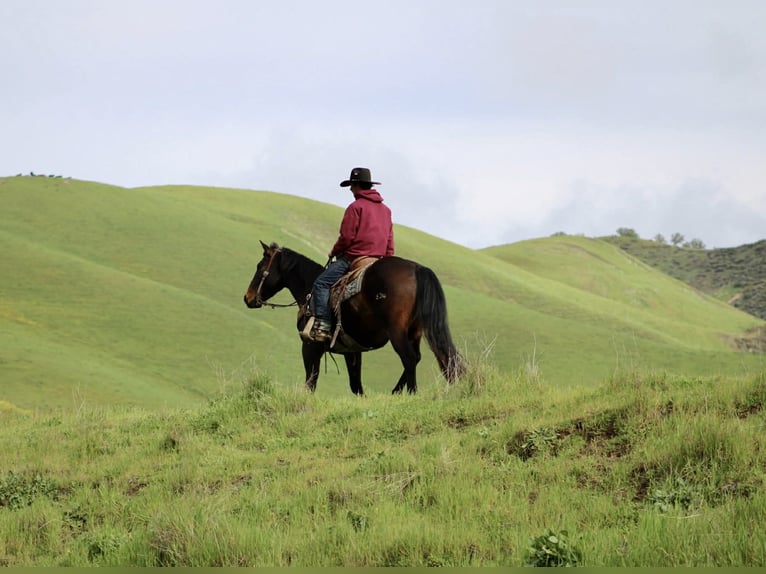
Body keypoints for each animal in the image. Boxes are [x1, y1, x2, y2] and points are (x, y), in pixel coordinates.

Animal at [243, 241, 465, 395]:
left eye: (259, 266)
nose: (248, 298)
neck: (309, 290)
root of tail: (417, 268)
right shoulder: (352, 351)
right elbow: (356, 386)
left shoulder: (310, 346)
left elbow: (311, 382)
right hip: (415, 332)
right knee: (417, 357)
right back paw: (395, 392)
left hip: (397, 331)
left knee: (409, 358)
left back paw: (411, 393)